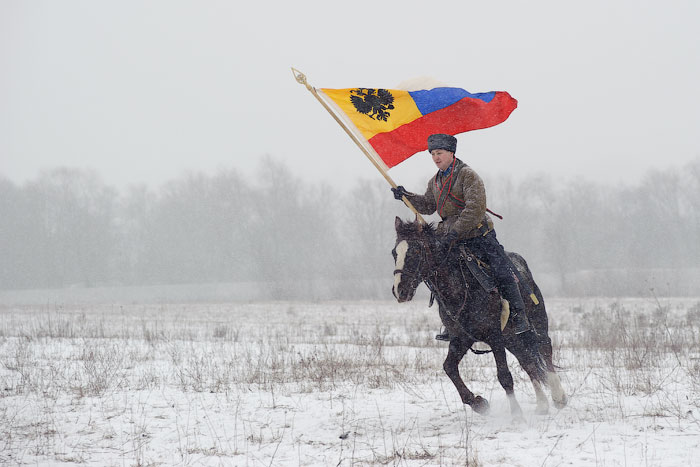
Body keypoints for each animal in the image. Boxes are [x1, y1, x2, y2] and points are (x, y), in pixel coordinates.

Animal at [392, 219, 568, 420]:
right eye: (394, 253)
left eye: (415, 251)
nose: (399, 291)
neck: (461, 286)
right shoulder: (461, 338)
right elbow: (449, 368)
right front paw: (478, 403)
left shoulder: (495, 337)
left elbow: (504, 376)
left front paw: (516, 414)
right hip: (512, 338)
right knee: (528, 362)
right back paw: (542, 404)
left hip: (536, 324)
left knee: (544, 350)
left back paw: (558, 397)